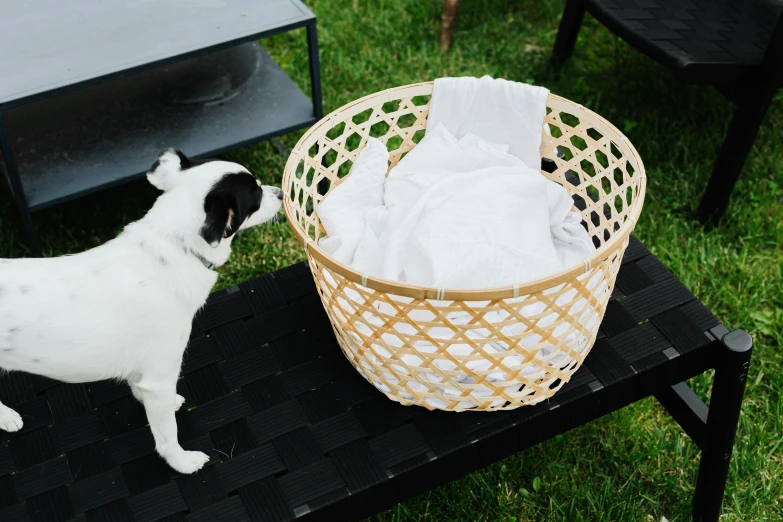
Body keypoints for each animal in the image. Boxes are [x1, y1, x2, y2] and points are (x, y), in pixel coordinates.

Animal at [0, 148, 282, 474]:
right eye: (256, 194)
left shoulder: (147, 375)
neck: (174, 247)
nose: (281, 192)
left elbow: (138, 386)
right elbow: (167, 435)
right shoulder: (160, 377)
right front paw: (182, 462)